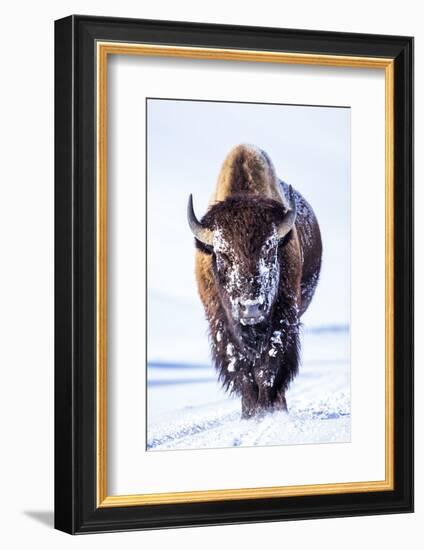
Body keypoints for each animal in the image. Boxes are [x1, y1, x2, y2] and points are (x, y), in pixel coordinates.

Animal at [187, 144, 322, 420]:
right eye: (222, 255)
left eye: (270, 251)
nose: (250, 308)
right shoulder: (221, 324)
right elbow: (241, 369)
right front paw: (250, 413)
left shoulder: (283, 319)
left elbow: (268, 366)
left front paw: (268, 410)